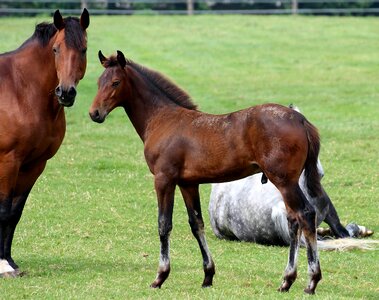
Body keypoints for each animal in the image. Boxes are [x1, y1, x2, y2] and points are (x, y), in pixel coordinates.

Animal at [0, 8, 90, 278]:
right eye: (56, 49)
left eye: (84, 49)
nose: (66, 93)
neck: (21, 90)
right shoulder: (8, 161)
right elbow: (3, 210)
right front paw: (3, 265)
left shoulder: (34, 164)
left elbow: (14, 213)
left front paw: (10, 261)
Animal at [89, 50, 324, 294]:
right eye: (98, 82)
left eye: (116, 82)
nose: (94, 113)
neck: (163, 119)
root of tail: (300, 119)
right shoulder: (188, 184)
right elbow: (197, 224)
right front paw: (208, 275)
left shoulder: (164, 179)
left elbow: (164, 224)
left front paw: (160, 276)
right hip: (287, 182)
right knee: (293, 220)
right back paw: (287, 280)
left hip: (284, 181)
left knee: (306, 214)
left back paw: (311, 280)